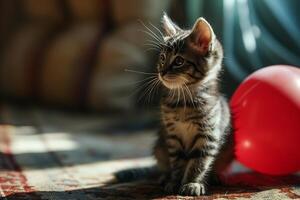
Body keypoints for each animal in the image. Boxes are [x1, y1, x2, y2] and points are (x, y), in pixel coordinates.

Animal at [154, 13, 233, 195]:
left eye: (179, 61)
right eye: (162, 58)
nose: (162, 72)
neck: (184, 102)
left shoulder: (208, 135)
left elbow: (199, 163)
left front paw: (192, 183)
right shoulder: (173, 136)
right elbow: (177, 162)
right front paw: (174, 181)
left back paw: (217, 176)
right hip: (159, 146)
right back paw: (164, 177)